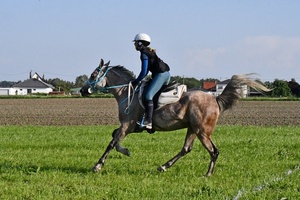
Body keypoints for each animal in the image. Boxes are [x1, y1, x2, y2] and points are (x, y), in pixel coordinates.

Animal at [79, 58, 270, 176]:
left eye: (93, 75)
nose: (82, 90)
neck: (127, 93)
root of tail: (215, 98)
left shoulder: (128, 125)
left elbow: (112, 142)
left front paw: (98, 165)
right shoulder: (130, 126)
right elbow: (114, 137)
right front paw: (126, 151)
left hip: (202, 131)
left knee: (213, 151)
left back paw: (207, 174)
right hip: (192, 128)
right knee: (186, 149)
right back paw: (164, 166)